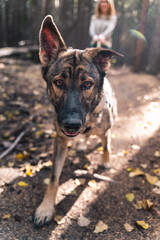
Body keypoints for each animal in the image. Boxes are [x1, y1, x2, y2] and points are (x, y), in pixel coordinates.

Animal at [33, 15, 122, 227]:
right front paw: (46, 208)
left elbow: (106, 146)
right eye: (58, 83)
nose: (71, 124)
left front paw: (106, 161)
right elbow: (54, 177)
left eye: (87, 84)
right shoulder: (60, 141)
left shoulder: (105, 130)